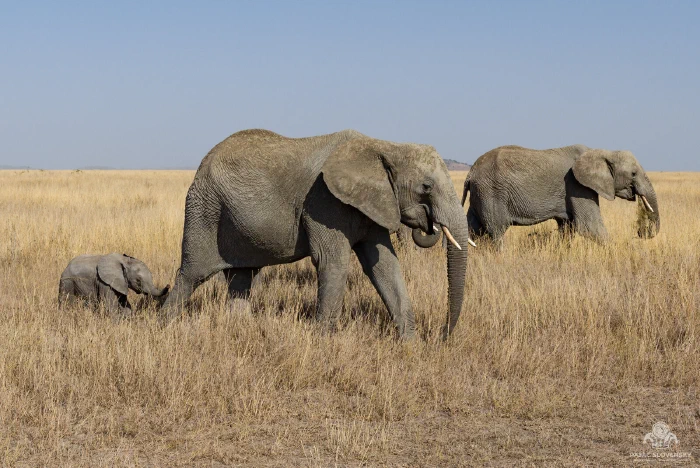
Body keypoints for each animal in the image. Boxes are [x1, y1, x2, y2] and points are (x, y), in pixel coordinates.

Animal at [162, 129, 470, 339]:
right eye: (426, 187)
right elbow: (332, 263)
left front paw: (410, 344)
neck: (384, 146)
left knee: (241, 278)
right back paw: (165, 326)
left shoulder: (373, 203)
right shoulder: (324, 202)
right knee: (191, 275)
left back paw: (241, 329)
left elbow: (384, 265)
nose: (442, 336)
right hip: (205, 209)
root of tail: (202, 164)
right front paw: (323, 342)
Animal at [461, 145, 660, 246]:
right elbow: (590, 226)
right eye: (633, 174)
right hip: (491, 192)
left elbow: (568, 227)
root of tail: (471, 173)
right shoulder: (577, 185)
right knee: (496, 231)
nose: (641, 232)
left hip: (480, 194)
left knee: (473, 228)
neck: (601, 151)